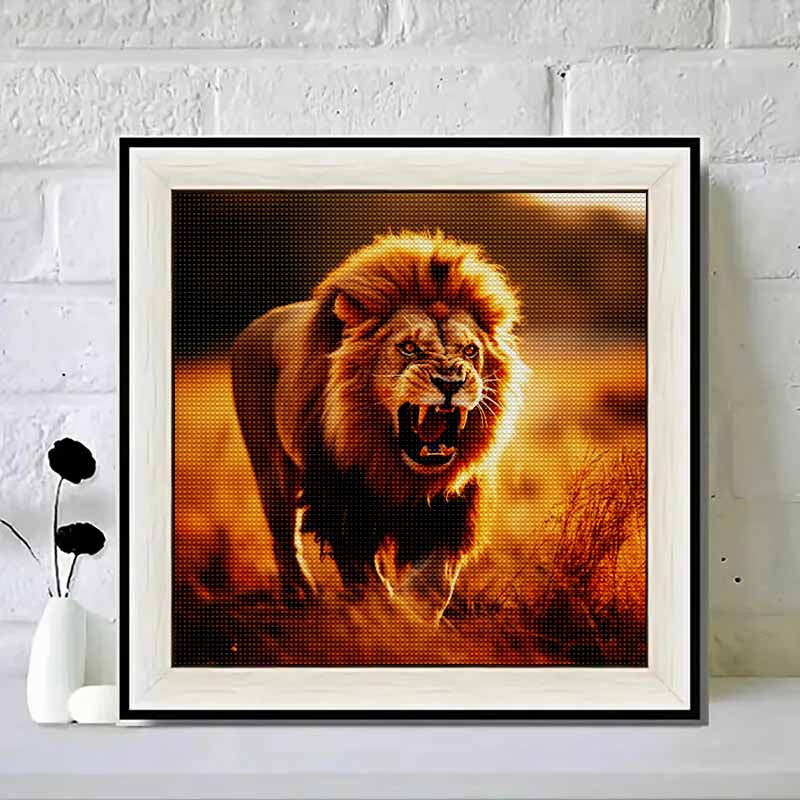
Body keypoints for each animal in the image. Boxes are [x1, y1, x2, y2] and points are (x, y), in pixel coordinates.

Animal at [231, 231, 525, 622]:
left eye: (470, 350)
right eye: (409, 347)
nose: (450, 381)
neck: (398, 469)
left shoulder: (455, 504)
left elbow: (436, 579)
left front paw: (415, 617)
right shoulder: (341, 502)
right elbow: (366, 577)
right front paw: (387, 617)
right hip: (271, 467)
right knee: (284, 537)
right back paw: (302, 596)